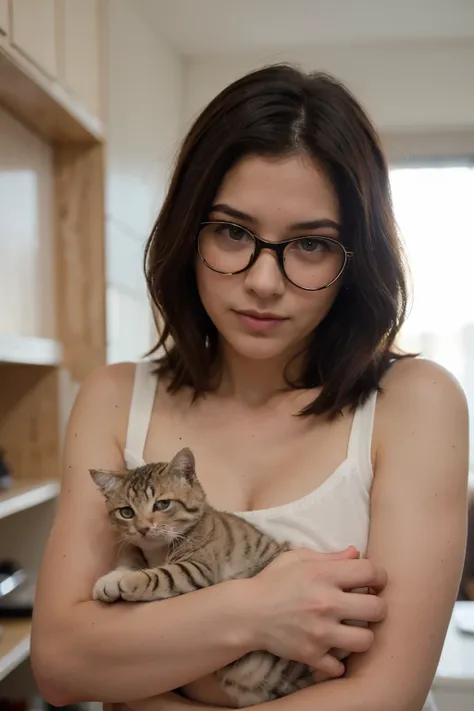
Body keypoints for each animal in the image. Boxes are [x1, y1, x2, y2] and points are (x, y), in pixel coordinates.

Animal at [91, 444, 314, 708]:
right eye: (126, 512)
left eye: (162, 504)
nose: (143, 528)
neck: (158, 551)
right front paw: (111, 580)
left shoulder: (197, 570)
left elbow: (162, 574)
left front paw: (129, 580)